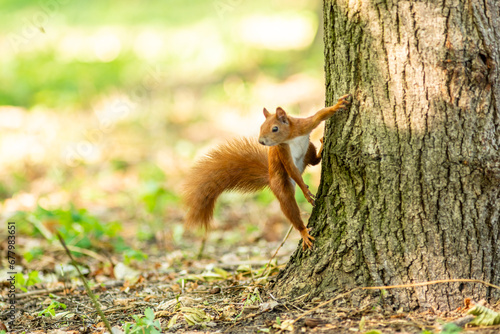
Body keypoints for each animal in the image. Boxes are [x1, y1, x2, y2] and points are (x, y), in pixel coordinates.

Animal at [184, 93, 352, 248]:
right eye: (260, 127)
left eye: (275, 128)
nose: (261, 141)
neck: (290, 137)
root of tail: (270, 178)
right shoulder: (282, 151)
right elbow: (291, 169)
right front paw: (305, 192)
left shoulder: (303, 125)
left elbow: (319, 115)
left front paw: (337, 106)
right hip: (281, 185)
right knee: (289, 207)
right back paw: (303, 231)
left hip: (308, 150)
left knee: (315, 160)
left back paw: (322, 147)